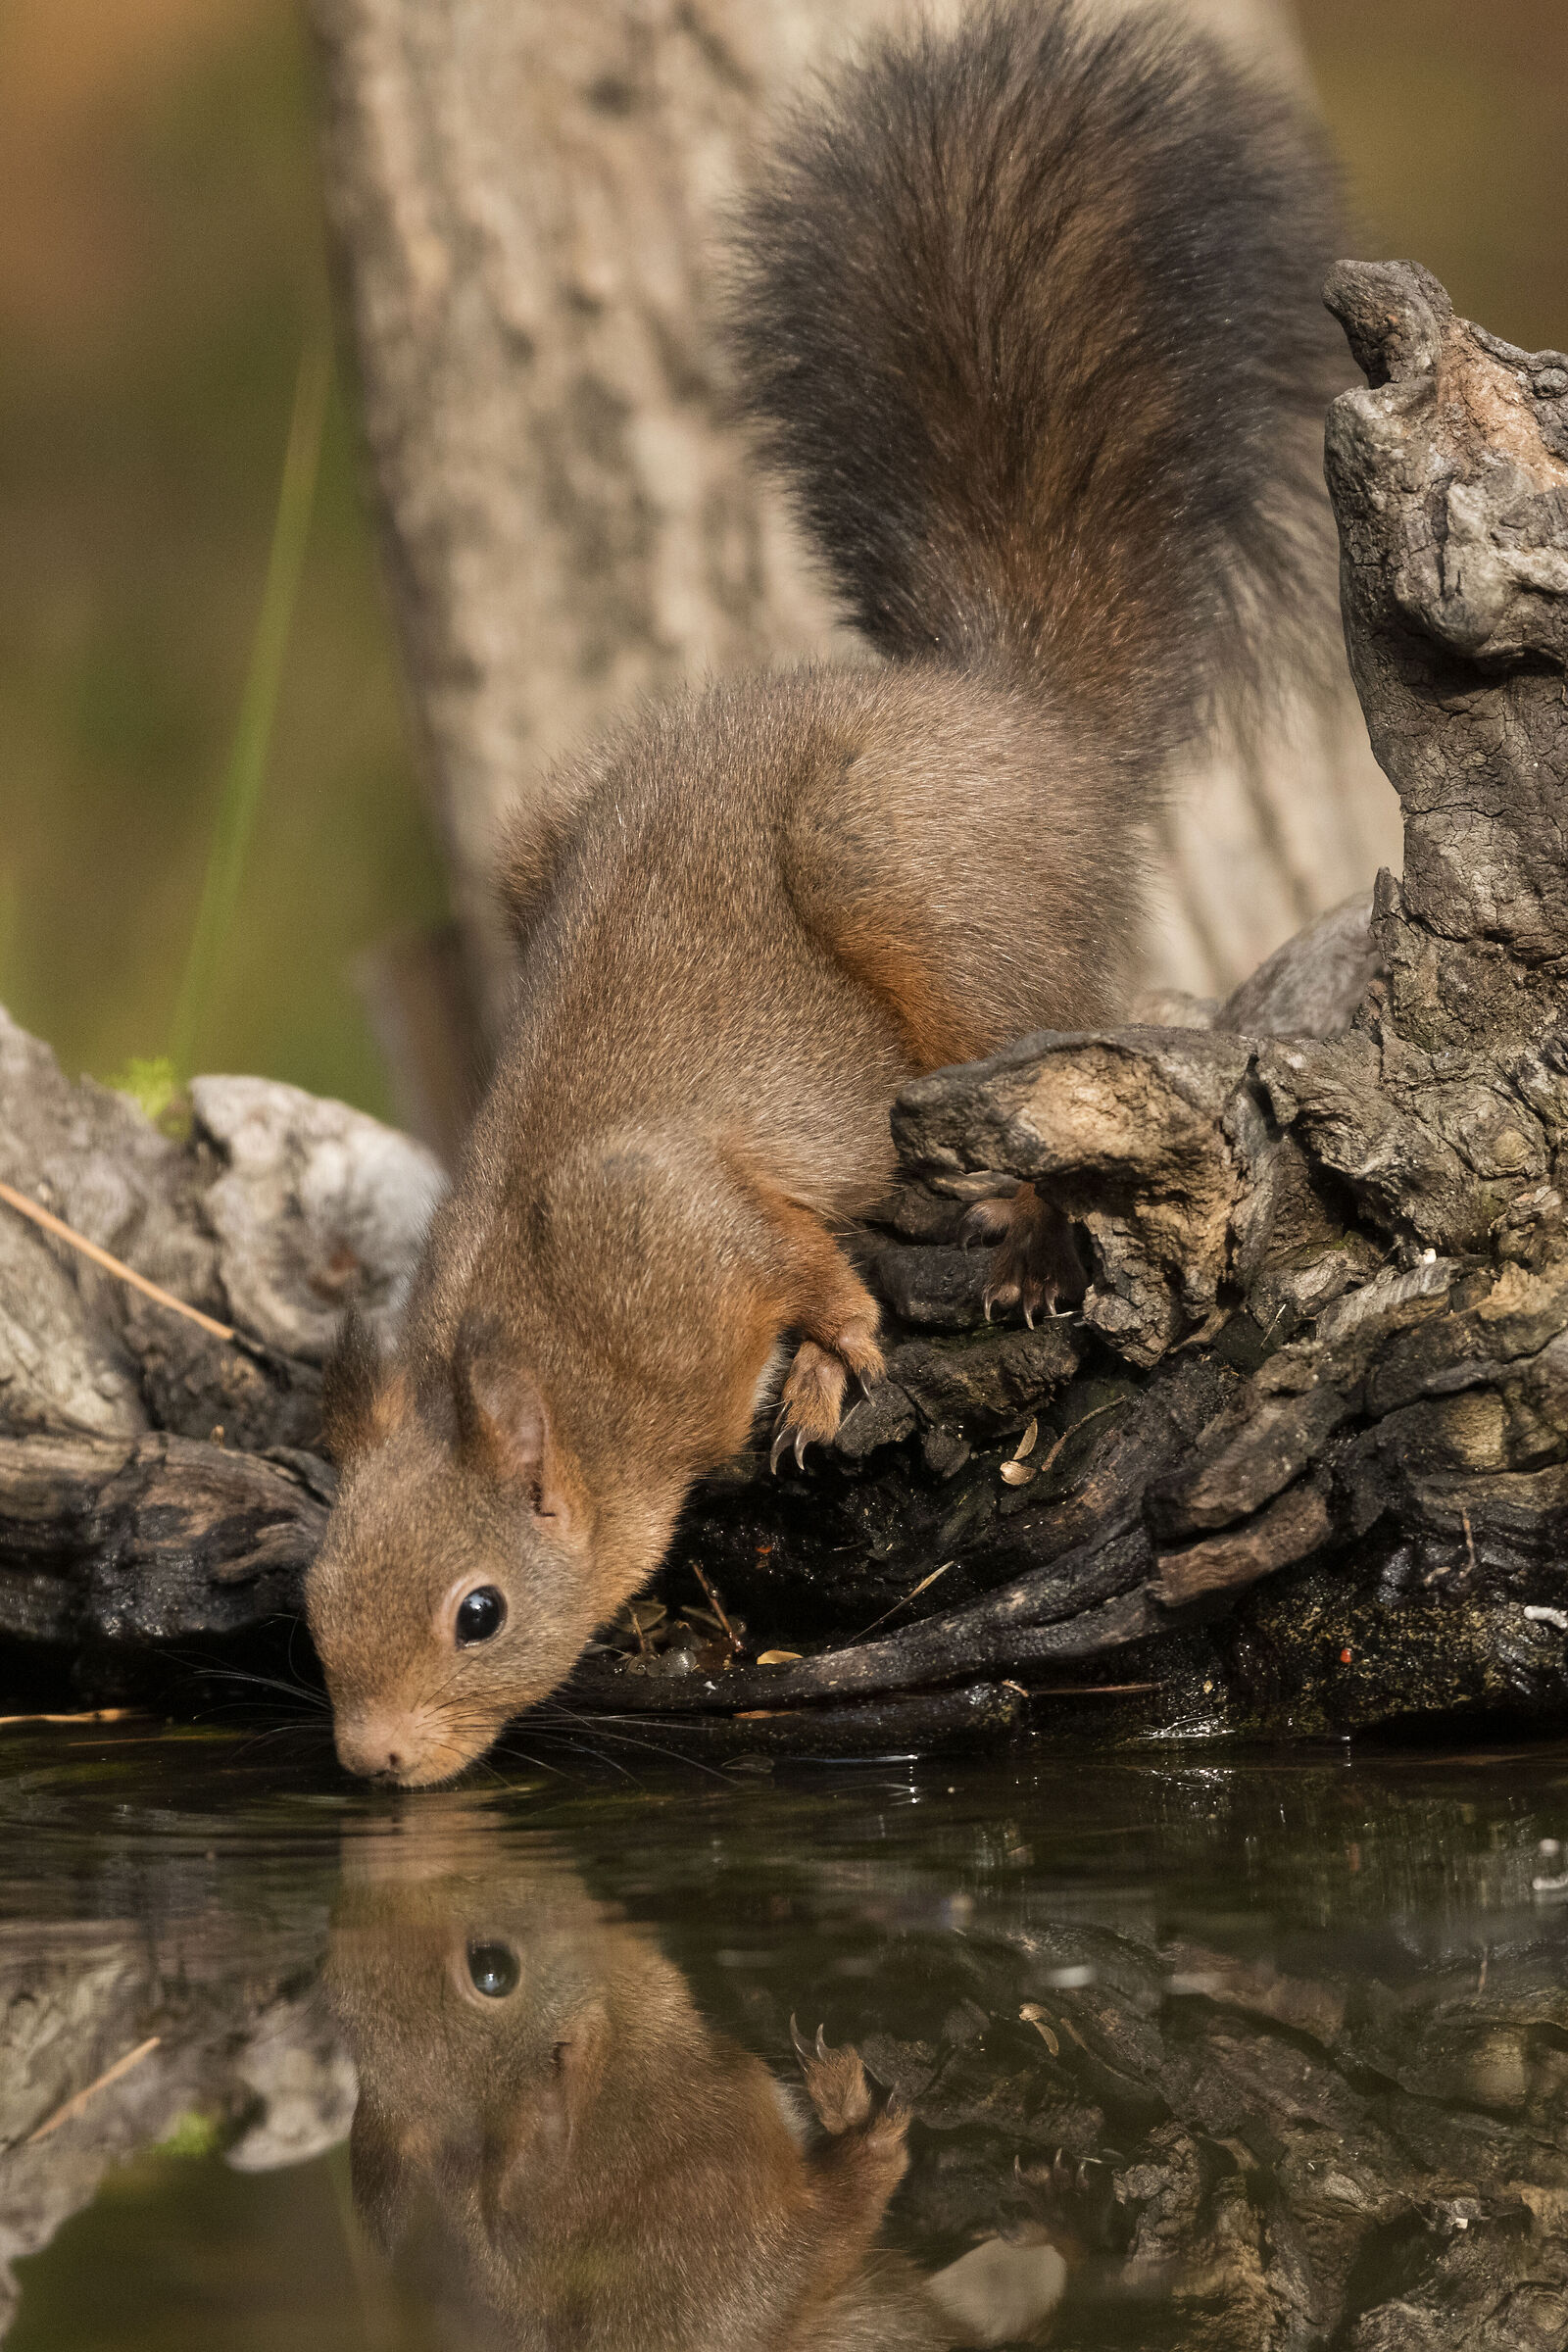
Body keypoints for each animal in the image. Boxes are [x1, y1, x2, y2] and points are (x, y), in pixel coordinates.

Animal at [306, 0, 1346, 1785]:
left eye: (478, 1614)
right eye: (310, 1603)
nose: (372, 1767)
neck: (548, 1341)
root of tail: (1013, 721)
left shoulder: (665, 1215)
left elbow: (787, 1253)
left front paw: (833, 1345)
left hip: (903, 875)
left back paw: (1018, 1238)